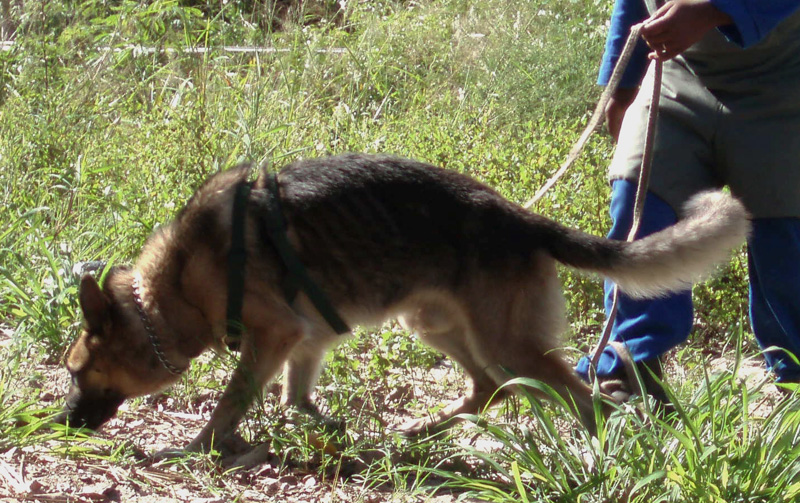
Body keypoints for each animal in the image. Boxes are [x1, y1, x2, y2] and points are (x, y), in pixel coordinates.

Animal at [57, 154, 752, 456]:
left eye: (77, 372)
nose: (62, 424)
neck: (173, 288)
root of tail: (520, 218)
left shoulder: (274, 333)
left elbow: (234, 399)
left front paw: (199, 446)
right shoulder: (304, 338)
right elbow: (293, 396)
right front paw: (322, 427)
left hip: (506, 343)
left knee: (585, 400)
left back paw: (598, 453)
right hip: (435, 324)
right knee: (487, 391)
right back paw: (419, 430)